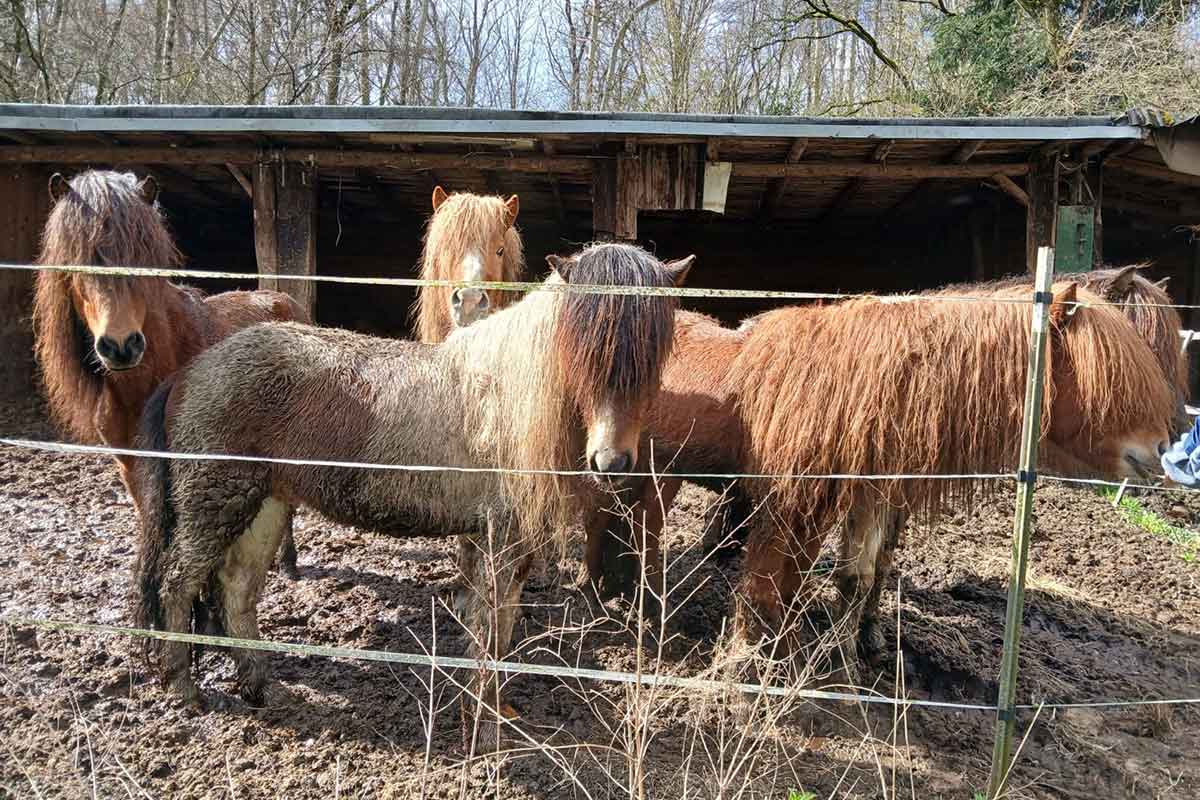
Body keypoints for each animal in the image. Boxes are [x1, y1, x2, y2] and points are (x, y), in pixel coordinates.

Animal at [130, 242, 690, 721]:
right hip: (215, 503)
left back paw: (258, 684)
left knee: (236, 590)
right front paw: (486, 716)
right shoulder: (503, 539)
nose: (611, 461)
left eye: (653, 356)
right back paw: (185, 689)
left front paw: (492, 703)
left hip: (264, 506)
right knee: (177, 584)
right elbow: (493, 628)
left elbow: (493, 623)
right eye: (584, 352)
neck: (506, 395)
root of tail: (190, 372)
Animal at [585, 276, 1176, 669]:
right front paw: (750, 660)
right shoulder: (798, 502)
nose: (1162, 452)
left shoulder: (873, 497)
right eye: (1109, 377)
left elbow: (858, 577)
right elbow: (772, 579)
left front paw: (842, 659)